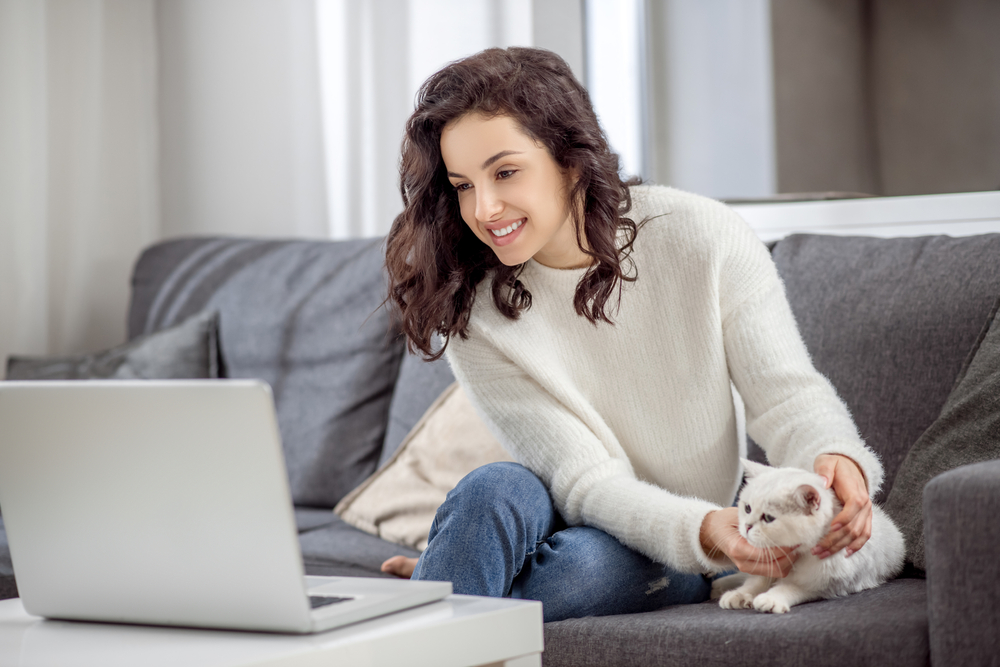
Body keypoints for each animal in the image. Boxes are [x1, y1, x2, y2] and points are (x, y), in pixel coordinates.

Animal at [716, 462, 904, 612]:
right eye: (747, 508)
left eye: (768, 518)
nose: (747, 527)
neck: (798, 557)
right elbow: (755, 582)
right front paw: (740, 594)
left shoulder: (827, 584)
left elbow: (790, 587)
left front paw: (771, 598)